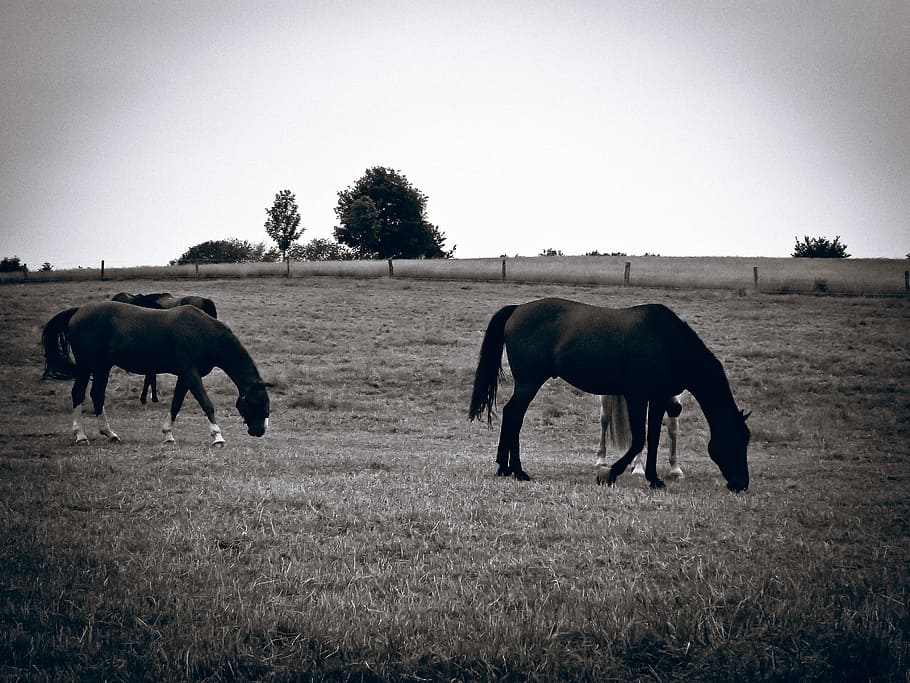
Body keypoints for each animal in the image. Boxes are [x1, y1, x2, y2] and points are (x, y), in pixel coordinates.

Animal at [42, 301, 270, 446]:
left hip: (102, 367)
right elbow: (206, 403)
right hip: (87, 366)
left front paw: (168, 435)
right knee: (78, 394)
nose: (259, 431)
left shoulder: (184, 376)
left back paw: (110, 434)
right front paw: (217, 437)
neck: (202, 332)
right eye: (256, 403)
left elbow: (176, 404)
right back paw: (80, 435)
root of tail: (79, 311)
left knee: (97, 395)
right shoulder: (191, 373)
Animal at [468, 298, 750, 491]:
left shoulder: (658, 398)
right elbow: (639, 439)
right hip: (529, 383)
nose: (741, 484)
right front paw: (609, 473)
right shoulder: (637, 396)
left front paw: (654, 479)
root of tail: (517, 309)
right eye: (737, 441)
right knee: (514, 416)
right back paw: (517, 470)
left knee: (510, 414)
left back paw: (504, 468)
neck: (667, 342)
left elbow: (653, 438)